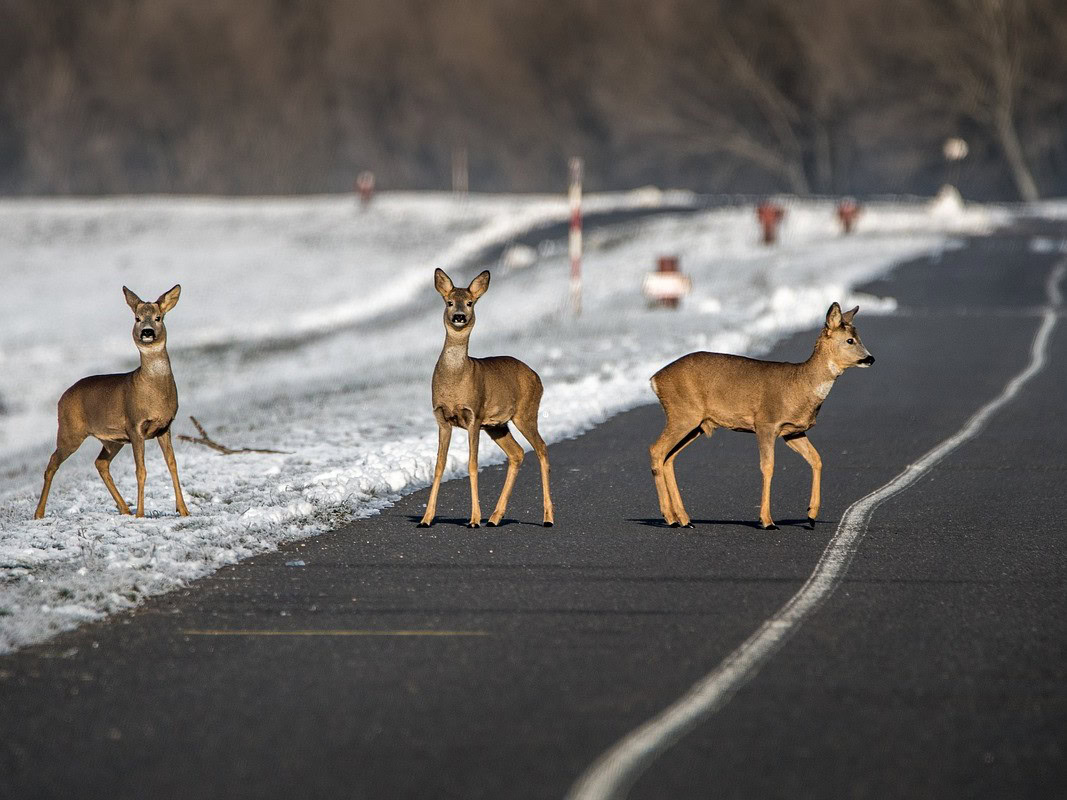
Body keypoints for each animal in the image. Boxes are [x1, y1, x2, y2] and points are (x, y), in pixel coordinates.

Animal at [34, 285, 190, 520]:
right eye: (136, 318)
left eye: (158, 317)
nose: (147, 332)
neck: (153, 392)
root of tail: (62, 398)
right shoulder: (135, 426)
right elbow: (141, 470)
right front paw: (141, 514)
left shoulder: (165, 427)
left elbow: (172, 464)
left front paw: (183, 510)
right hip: (70, 431)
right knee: (52, 463)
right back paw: (39, 513)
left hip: (113, 440)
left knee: (100, 463)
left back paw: (124, 508)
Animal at [418, 268, 554, 529]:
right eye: (449, 302)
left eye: (470, 302)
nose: (459, 316)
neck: (455, 380)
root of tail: (536, 376)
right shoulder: (441, 418)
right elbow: (439, 466)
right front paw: (426, 519)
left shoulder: (475, 415)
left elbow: (472, 465)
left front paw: (473, 519)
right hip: (497, 425)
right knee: (517, 453)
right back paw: (494, 517)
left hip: (525, 412)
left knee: (541, 448)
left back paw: (548, 518)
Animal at [649, 302, 874, 531]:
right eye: (850, 340)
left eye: (858, 337)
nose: (870, 358)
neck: (800, 385)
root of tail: (655, 380)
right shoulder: (766, 423)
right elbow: (768, 467)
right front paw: (767, 521)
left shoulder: (792, 432)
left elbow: (816, 459)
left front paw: (811, 516)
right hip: (683, 414)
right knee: (656, 449)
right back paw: (670, 517)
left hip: (696, 424)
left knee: (669, 457)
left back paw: (684, 519)